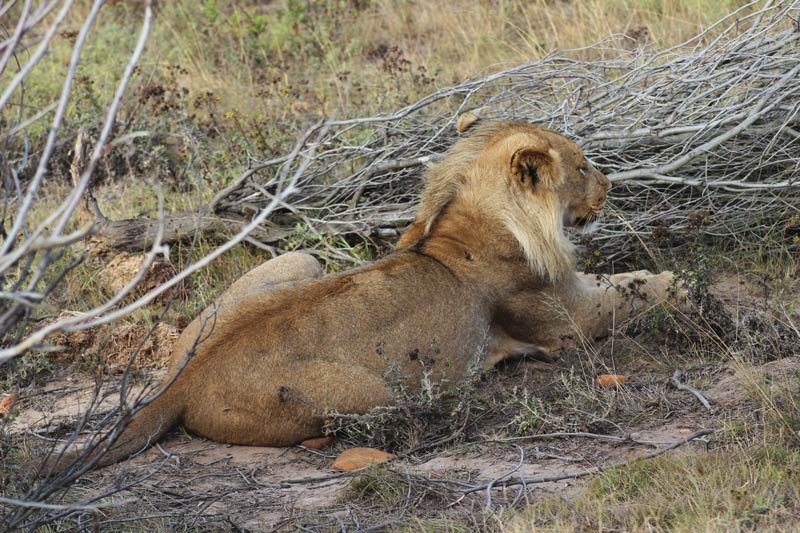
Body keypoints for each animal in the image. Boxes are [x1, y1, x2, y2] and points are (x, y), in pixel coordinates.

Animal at [51, 113, 680, 470]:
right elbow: (641, 290)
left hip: (294, 262)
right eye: (583, 166)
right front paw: (682, 282)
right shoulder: (564, 321)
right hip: (376, 393)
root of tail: (181, 382)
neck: (481, 221)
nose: (611, 185)